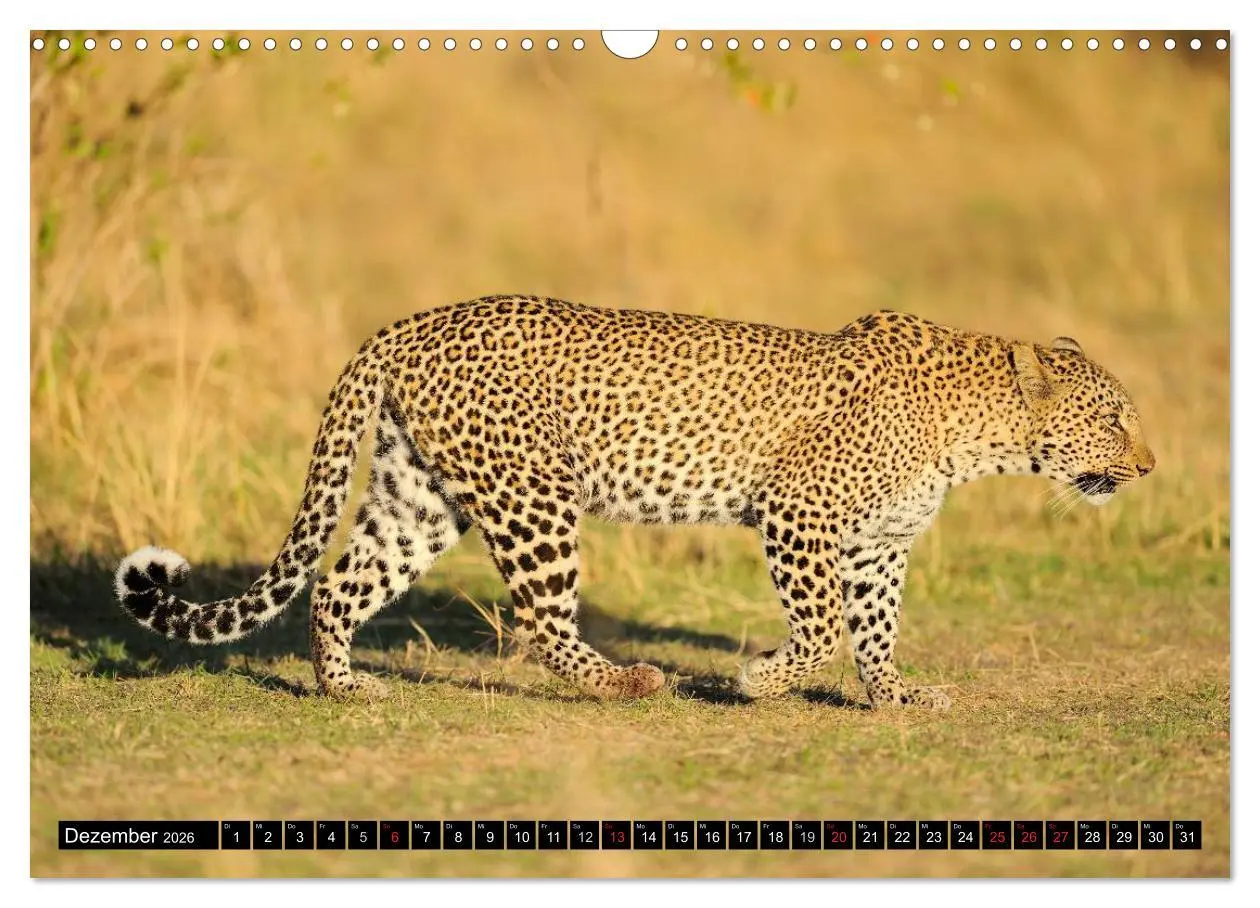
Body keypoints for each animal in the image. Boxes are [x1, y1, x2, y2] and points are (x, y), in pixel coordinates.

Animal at [114, 295, 1155, 710]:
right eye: (1115, 418)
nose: (1148, 467)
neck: (982, 437)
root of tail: (410, 323)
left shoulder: (878, 545)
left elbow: (874, 628)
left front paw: (897, 696)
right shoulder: (799, 514)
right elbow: (822, 629)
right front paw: (758, 682)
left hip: (422, 494)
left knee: (338, 585)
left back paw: (344, 687)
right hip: (533, 496)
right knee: (543, 621)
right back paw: (627, 682)